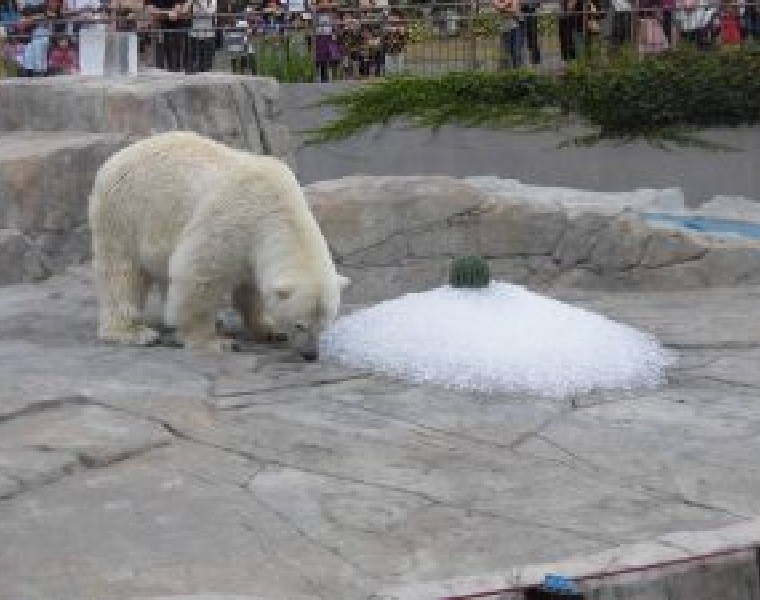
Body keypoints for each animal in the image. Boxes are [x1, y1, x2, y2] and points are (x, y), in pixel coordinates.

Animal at [90, 131, 350, 358]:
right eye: (299, 325)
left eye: (324, 325)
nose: (311, 355)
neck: (277, 207)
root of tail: (115, 158)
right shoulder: (231, 221)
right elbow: (199, 274)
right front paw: (214, 341)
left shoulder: (253, 245)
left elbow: (251, 287)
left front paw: (268, 329)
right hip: (127, 212)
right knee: (122, 273)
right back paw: (133, 332)